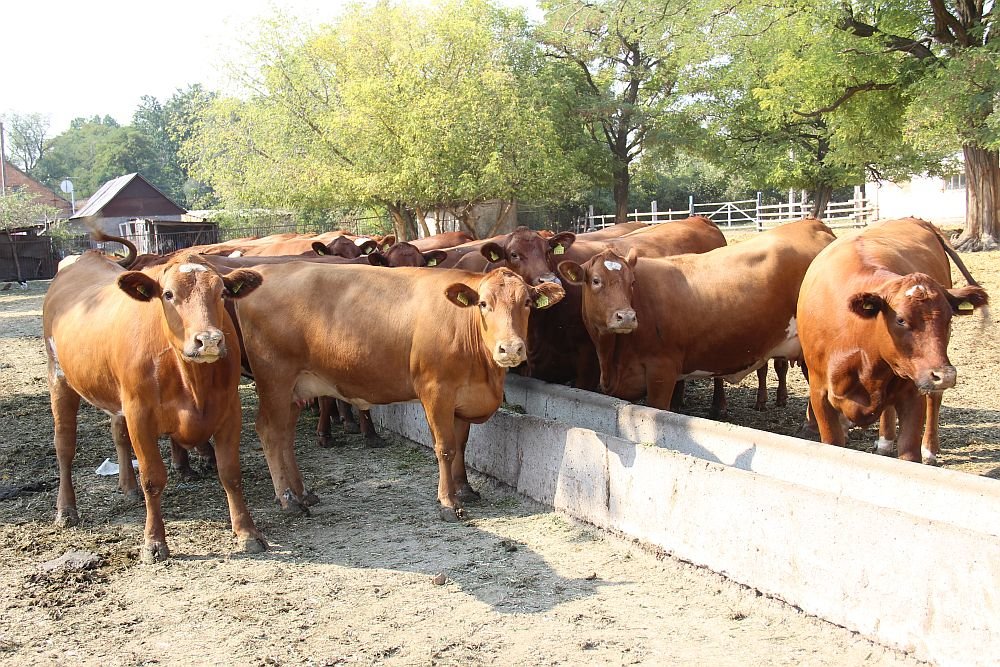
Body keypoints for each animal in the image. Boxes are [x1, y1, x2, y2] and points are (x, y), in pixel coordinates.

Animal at [42, 232, 266, 563]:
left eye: (222, 292)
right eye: (169, 295)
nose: (209, 340)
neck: (191, 379)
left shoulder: (229, 410)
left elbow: (230, 473)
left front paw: (247, 533)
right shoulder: (140, 416)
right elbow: (153, 478)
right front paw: (154, 542)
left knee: (118, 434)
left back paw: (127, 487)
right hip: (59, 378)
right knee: (64, 446)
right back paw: (66, 510)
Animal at [232, 264, 564, 521]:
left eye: (527, 303)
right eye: (483, 304)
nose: (511, 348)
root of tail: (265, 271)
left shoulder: (461, 399)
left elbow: (462, 445)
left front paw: (466, 489)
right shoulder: (436, 391)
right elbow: (445, 447)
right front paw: (448, 502)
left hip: (295, 388)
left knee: (285, 436)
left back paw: (302, 494)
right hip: (274, 380)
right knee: (269, 432)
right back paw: (287, 501)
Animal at [556, 218, 835, 411]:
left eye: (631, 282)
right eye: (595, 281)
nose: (626, 317)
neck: (611, 353)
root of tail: (813, 224)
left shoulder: (662, 372)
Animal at [797, 217, 988, 464]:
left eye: (949, 317)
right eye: (900, 319)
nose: (945, 375)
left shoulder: (912, 393)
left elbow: (909, 453)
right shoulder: (819, 393)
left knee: (933, 397)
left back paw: (929, 449)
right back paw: (885, 441)